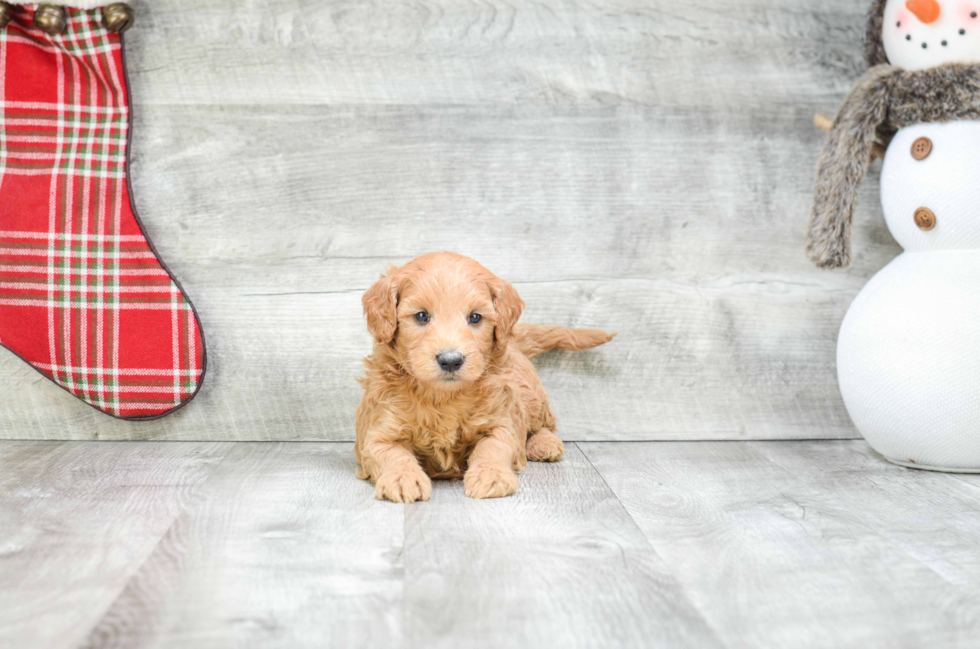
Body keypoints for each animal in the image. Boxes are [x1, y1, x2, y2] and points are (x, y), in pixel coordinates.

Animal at [352, 249, 612, 502]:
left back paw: (544, 444)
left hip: (531, 395)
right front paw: (402, 478)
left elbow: (493, 447)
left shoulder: (502, 421)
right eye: (421, 316)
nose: (450, 360)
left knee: (544, 425)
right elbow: (391, 453)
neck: (444, 397)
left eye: (475, 317)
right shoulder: (377, 430)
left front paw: (491, 476)